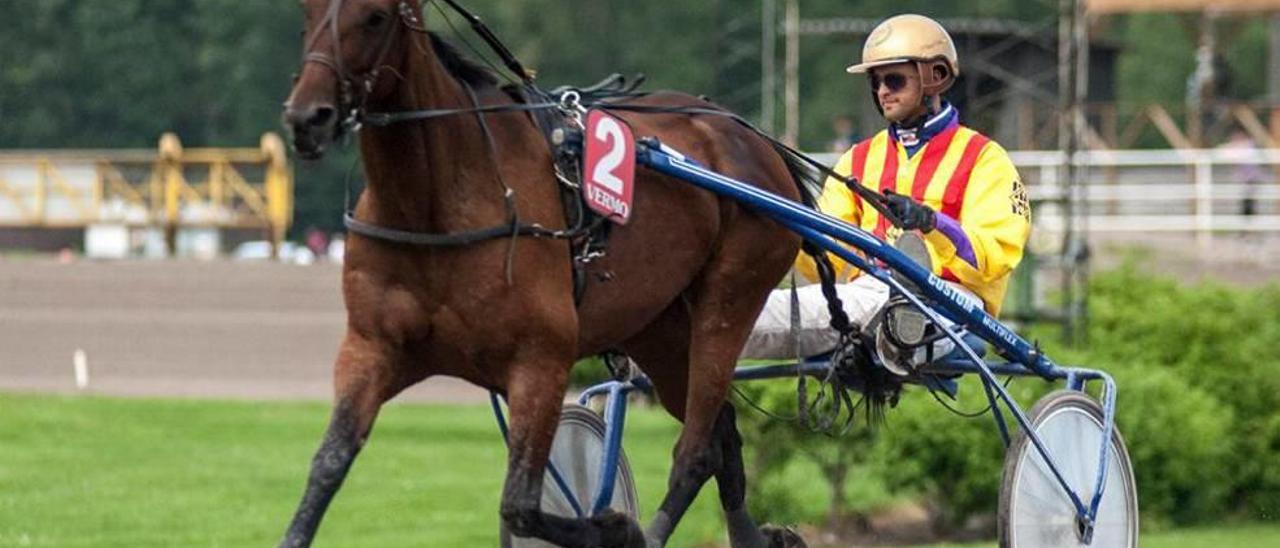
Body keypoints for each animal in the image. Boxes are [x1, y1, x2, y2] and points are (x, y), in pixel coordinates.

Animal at [282, 2, 808, 545]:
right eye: (308, 13)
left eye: (375, 17)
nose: (308, 118)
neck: (436, 204)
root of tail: (751, 136)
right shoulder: (371, 347)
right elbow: (326, 469)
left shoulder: (540, 361)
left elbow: (520, 504)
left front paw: (617, 526)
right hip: (656, 326)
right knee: (722, 434)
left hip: (729, 297)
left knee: (698, 447)